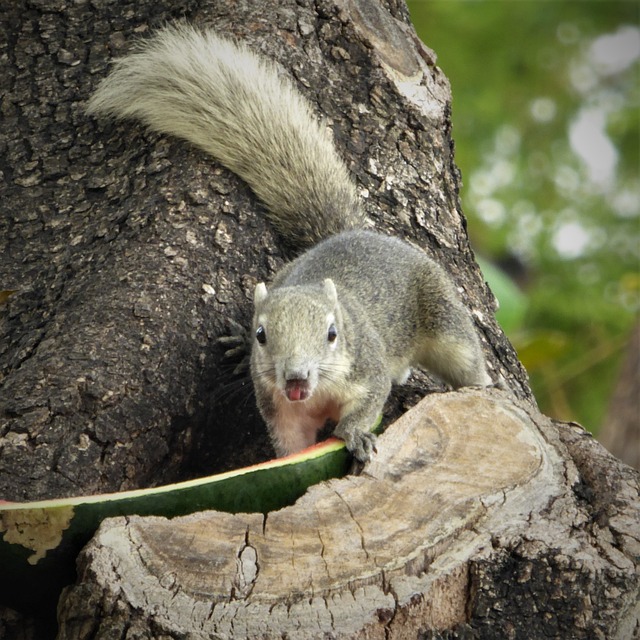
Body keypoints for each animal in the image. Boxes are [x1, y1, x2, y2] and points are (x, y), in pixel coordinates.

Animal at [86, 25, 496, 462]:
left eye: (332, 334)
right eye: (262, 335)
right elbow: (290, 442)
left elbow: (368, 404)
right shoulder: (280, 408)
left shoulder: (368, 372)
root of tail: (350, 233)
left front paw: (356, 435)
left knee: (464, 358)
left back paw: (483, 386)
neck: (317, 393)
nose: (296, 376)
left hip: (444, 318)